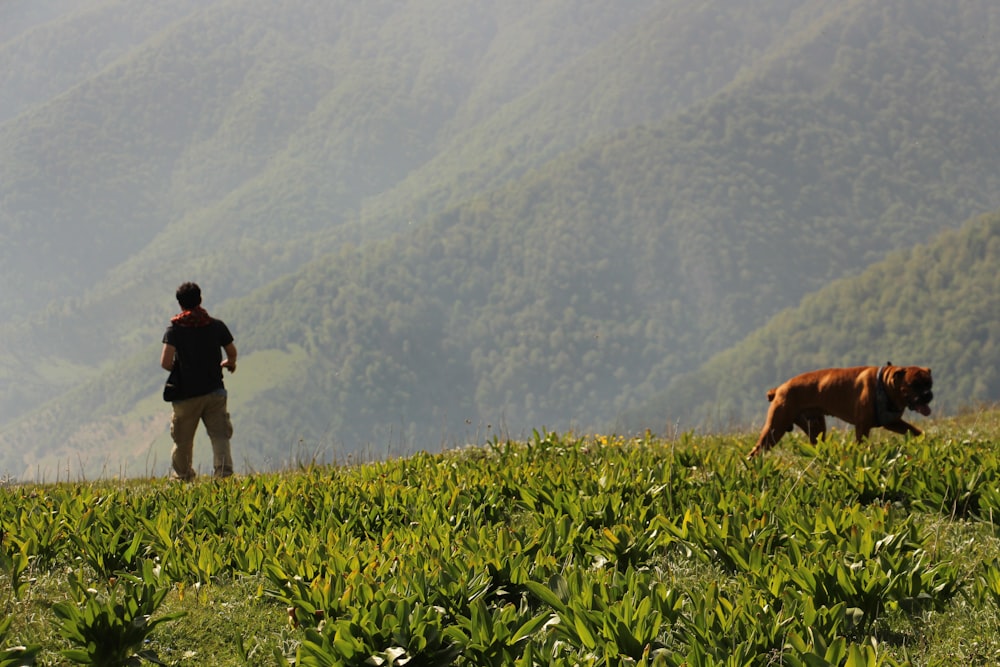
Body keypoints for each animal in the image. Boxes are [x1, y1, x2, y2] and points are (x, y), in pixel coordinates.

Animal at [748, 362, 932, 456]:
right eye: (914, 385)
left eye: (929, 383)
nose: (928, 394)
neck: (885, 385)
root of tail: (779, 388)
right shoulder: (862, 427)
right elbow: (861, 444)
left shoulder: (893, 422)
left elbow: (916, 431)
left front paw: (926, 442)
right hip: (774, 429)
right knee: (756, 451)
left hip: (816, 429)